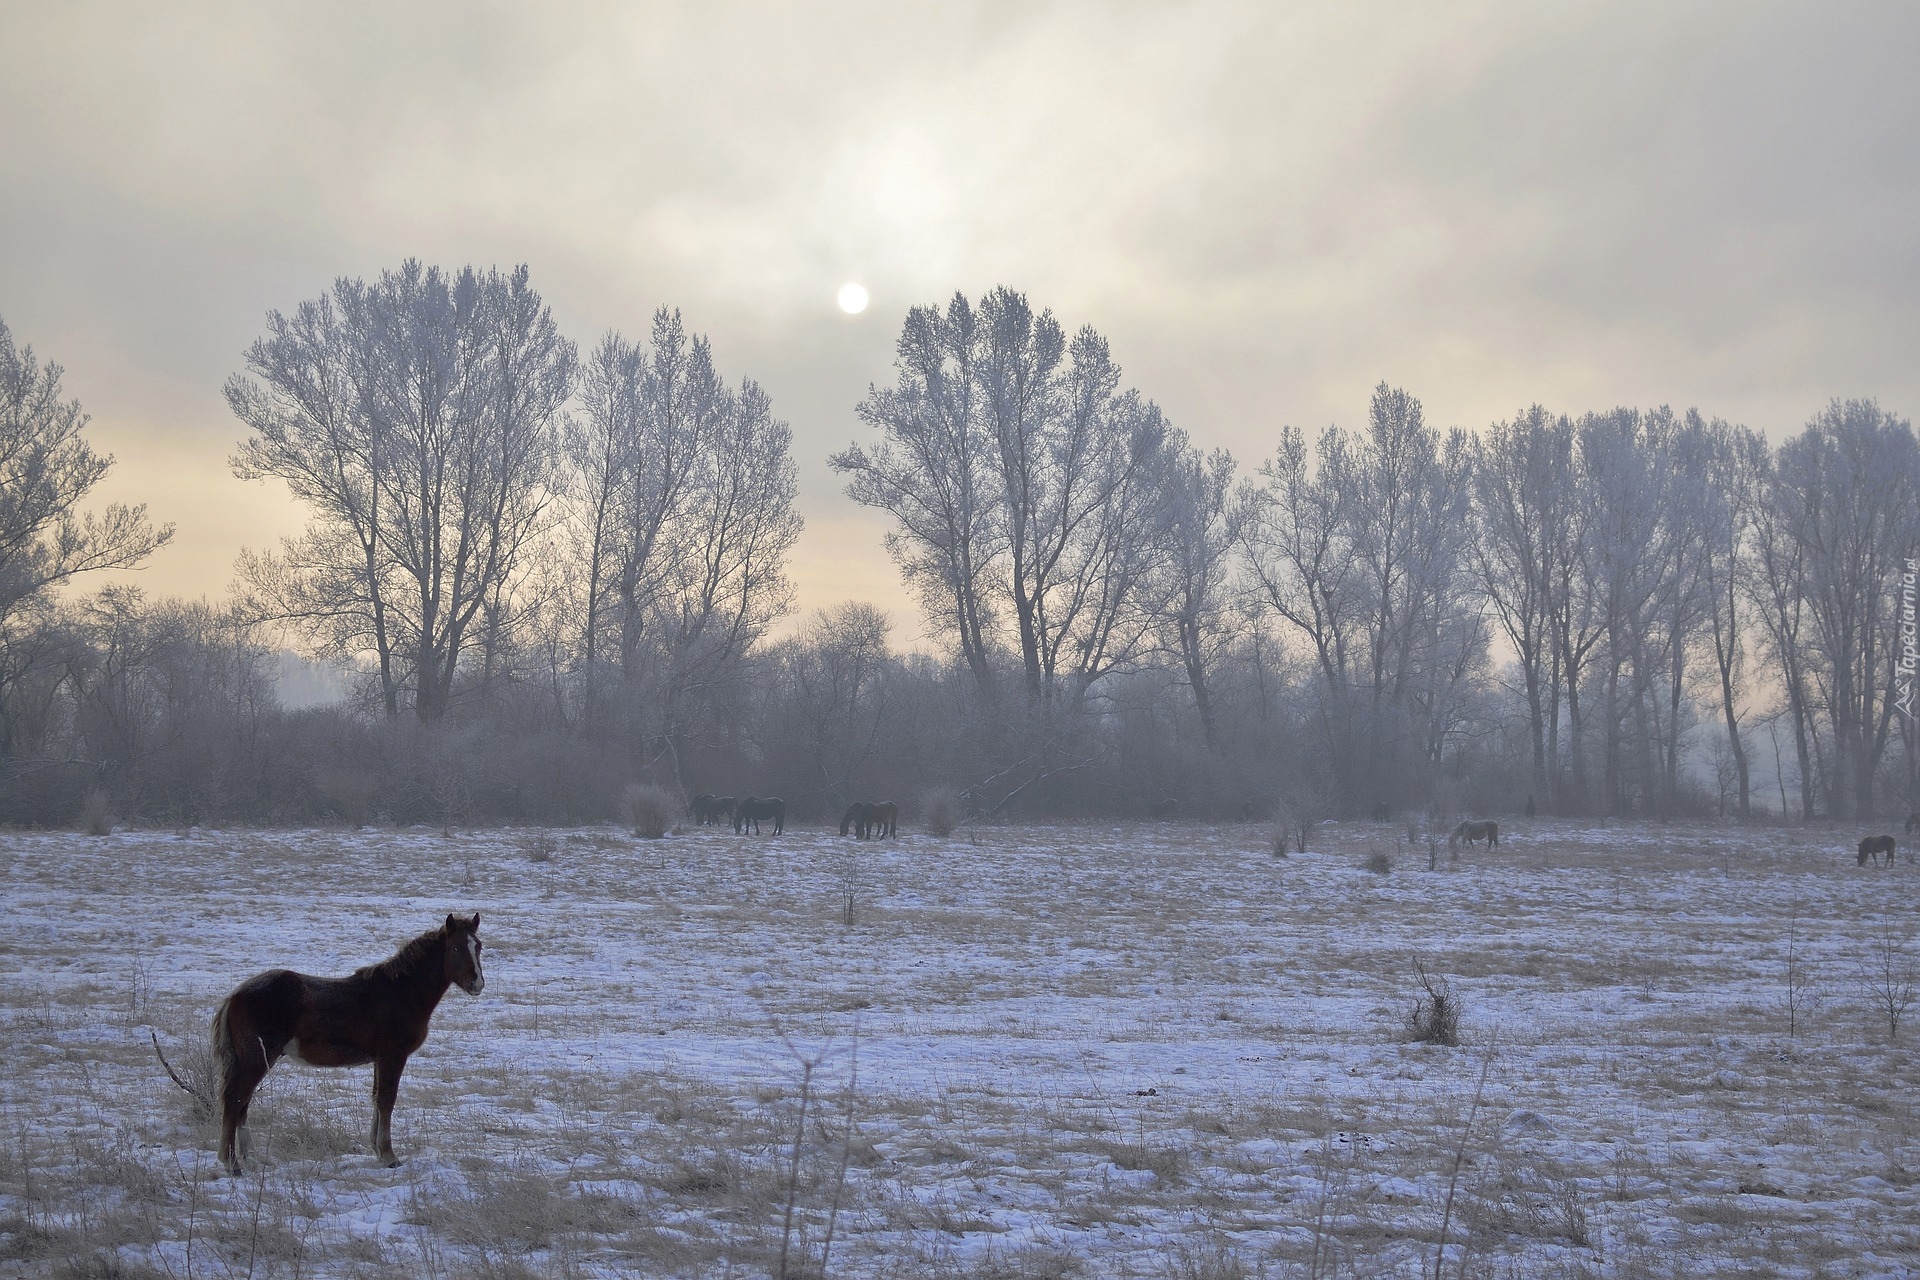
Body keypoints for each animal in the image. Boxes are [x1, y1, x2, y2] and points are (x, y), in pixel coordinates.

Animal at [206, 917, 480, 1174]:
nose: (477, 984)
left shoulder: (380, 1059)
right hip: (257, 1059)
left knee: (243, 1103)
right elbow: (387, 1099)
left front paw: (378, 1150)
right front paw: (389, 1156)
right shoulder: (393, 1056)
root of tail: (236, 995)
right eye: (455, 947)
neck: (400, 992)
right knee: (235, 1100)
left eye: (478, 946)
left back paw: (253, 1159)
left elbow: (377, 1099)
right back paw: (232, 1164)